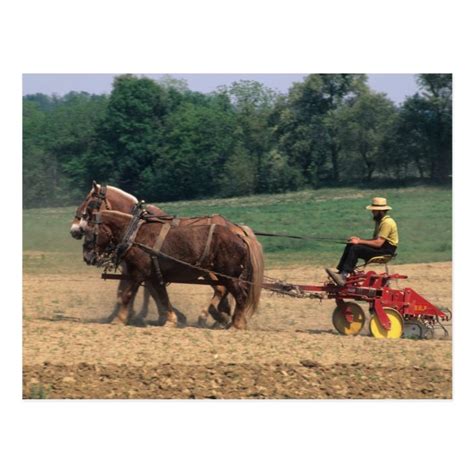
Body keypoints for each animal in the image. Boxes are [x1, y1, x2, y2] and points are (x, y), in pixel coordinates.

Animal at [69, 181, 260, 326]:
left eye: (89, 201)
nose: (75, 230)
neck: (135, 229)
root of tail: (238, 230)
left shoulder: (138, 270)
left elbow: (131, 293)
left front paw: (126, 316)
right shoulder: (142, 271)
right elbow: (152, 293)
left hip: (215, 272)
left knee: (225, 290)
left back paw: (215, 317)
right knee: (226, 290)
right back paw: (223, 316)